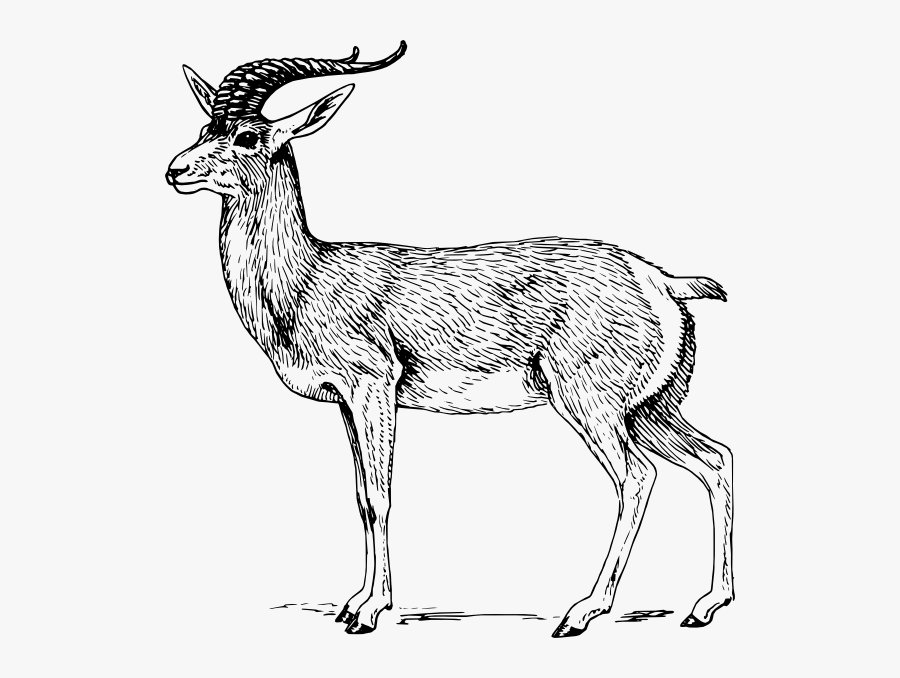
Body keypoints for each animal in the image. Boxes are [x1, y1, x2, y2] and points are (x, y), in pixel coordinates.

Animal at [166, 42, 733, 637]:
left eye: (248, 135)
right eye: (206, 126)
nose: (175, 169)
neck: (306, 276)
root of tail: (662, 280)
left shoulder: (374, 390)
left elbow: (380, 496)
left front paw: (369, 610)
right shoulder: (346, 405)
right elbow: (360, 497)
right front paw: (354, 601)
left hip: (591, 405)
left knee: (638, 478)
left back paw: (582, 612)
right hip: (649, 408)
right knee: (715, 460)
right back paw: (705, 605)